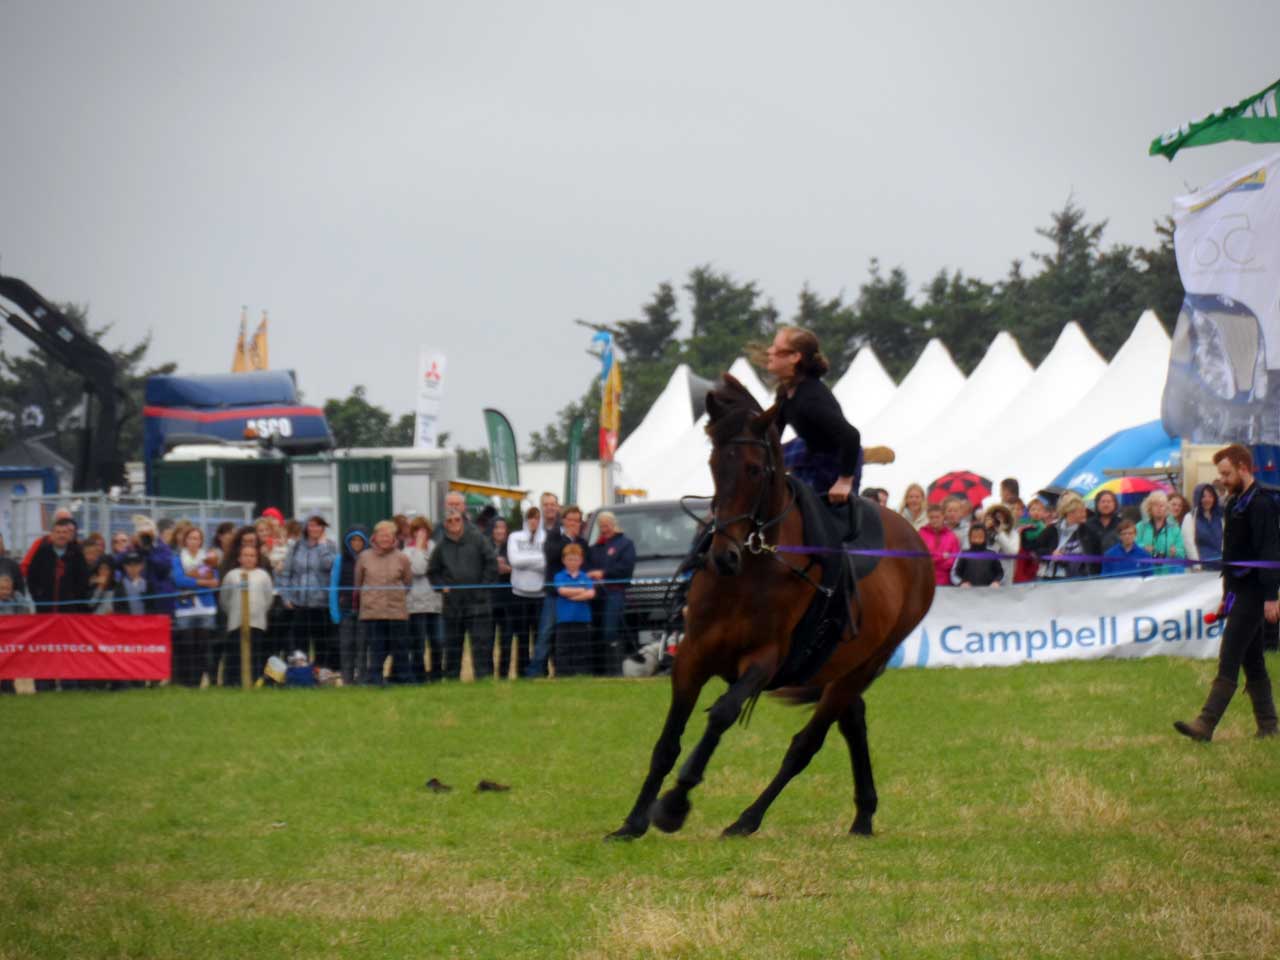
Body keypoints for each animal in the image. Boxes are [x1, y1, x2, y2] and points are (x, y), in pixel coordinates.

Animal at [604, 376, 936, 839]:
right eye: (713, 465)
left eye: (755, 469)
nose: (724, 556)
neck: (751, 568)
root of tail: (915, 541)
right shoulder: (691, 656)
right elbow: (667, 742)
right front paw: (633, 821)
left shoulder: (764, 661)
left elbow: (722, 714)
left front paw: (673, 804)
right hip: (842, 668)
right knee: (852, 721)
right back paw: (863, 816)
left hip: (865, 664)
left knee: (806, 744)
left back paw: (748, 819)